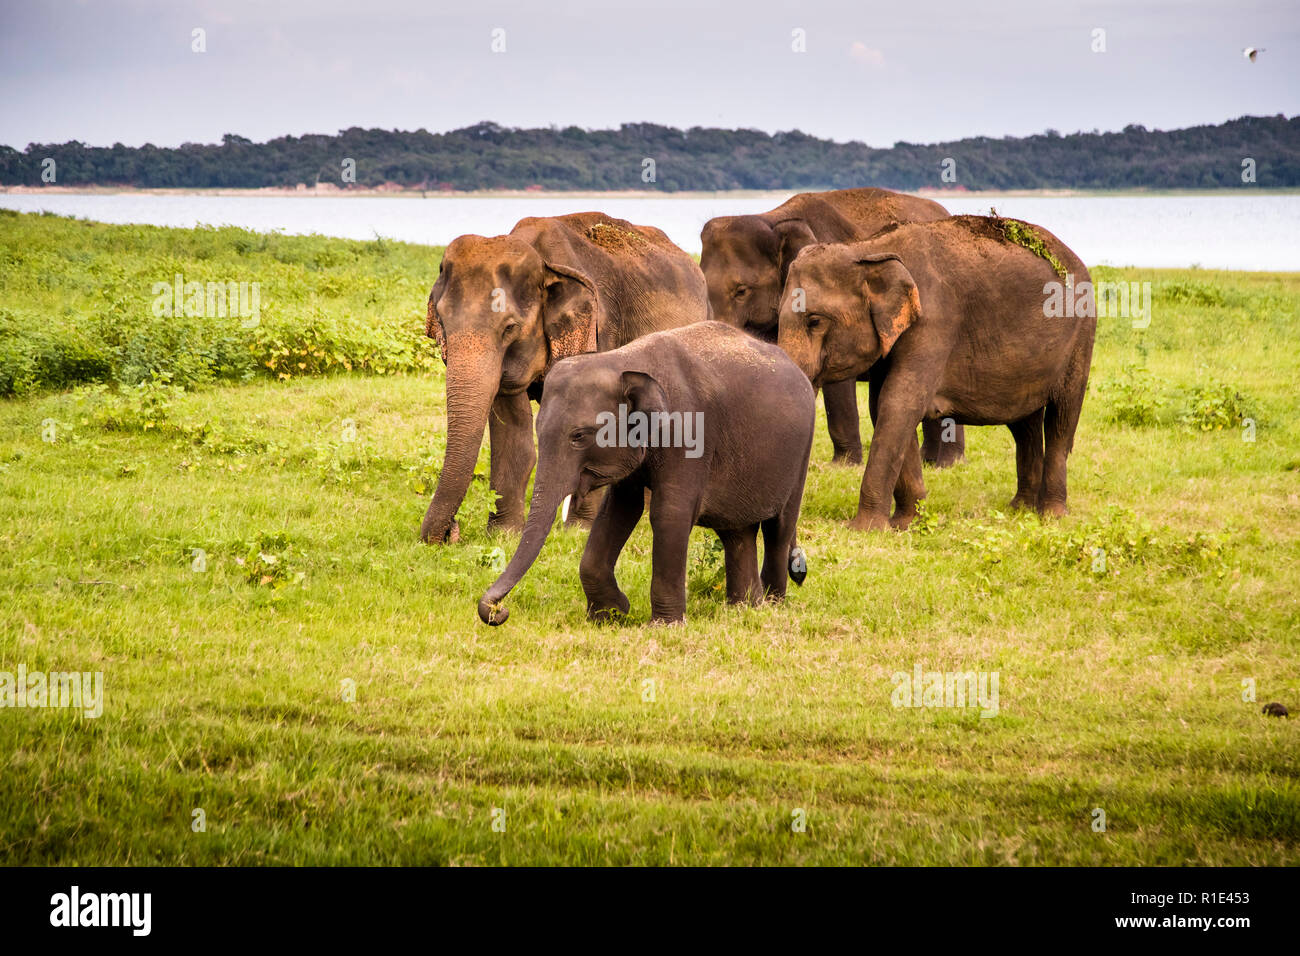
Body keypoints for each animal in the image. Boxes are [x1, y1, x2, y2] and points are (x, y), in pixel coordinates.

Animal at [423, 217, 712, 546]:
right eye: (442, 322)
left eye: (509, 328)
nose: (451, 532)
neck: (544, 263)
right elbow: (512, 426)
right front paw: (504, 535)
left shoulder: (600, 330)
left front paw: (579, 531)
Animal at [478, 321, 811, 629]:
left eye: (579, 436)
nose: (497, 612)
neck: (624, 361)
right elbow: (620, 510)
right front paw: (610, 615)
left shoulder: (689, 434)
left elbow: (669, 514)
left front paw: (664, 626)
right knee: (736, 532)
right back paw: (744, 607)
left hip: (800, 457)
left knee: (779, 527)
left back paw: (771, 603)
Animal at [702, 184, 967, 468]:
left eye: (741, 291)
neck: (773, 218)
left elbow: (838, 381)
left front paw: (844, 464)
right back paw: (930, 461)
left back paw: (948, 463)